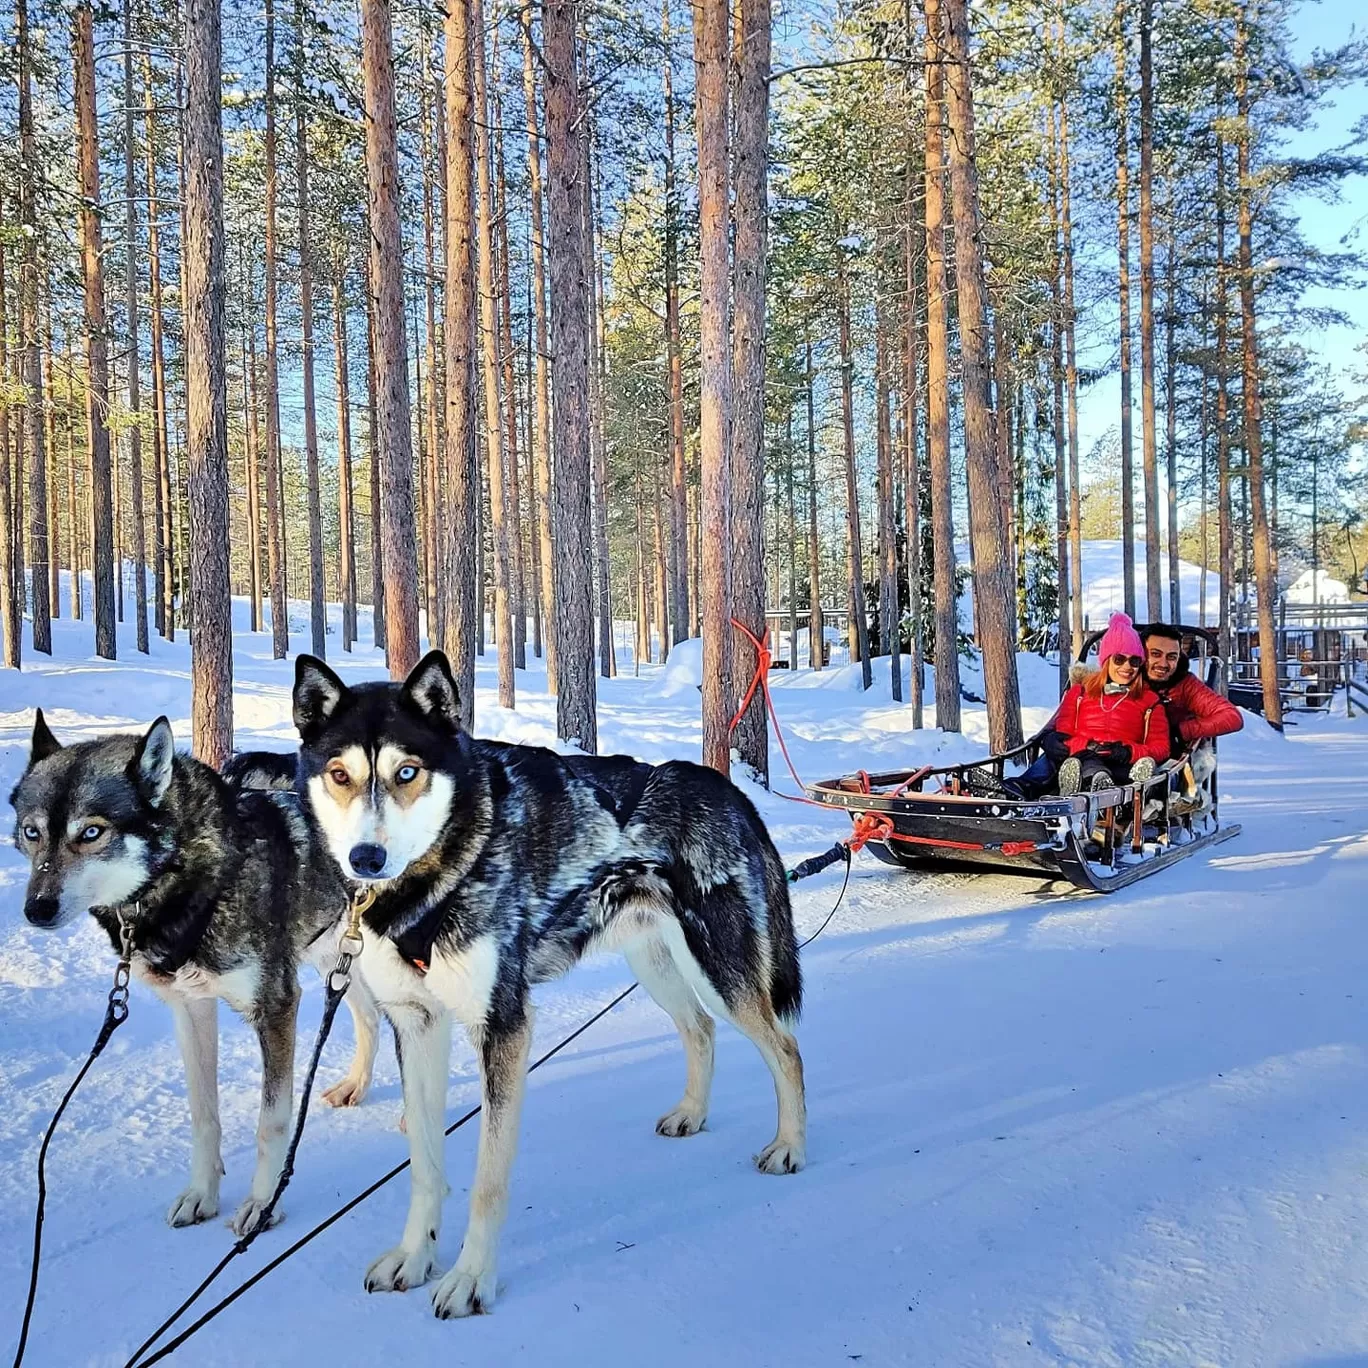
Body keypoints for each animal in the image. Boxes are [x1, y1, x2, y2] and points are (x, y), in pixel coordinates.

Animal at [10, 711, 385, 1236]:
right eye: (32, 832)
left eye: (91, 832)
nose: (36, 909)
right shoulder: (190, 1008)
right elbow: (204, 1115)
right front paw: (202, 1195)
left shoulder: (276, 1008)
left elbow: (271, 1121)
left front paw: (263, 1204)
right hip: (334, 955)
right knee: (370, 1016)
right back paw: (357, 1085)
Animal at [288, 656, 798, 1318]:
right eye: (339, 774)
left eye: (407, 772)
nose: (366, 857)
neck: (445, 865)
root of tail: (729, 789)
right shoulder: (416, 1023)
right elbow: (424, 1163)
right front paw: (415, 1257)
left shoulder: (503, 1029)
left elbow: (487, 1181)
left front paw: (471, 1279)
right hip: (657, 966)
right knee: (700, 1029)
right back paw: (692, 1112)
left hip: (722, 969)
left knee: (785, 1049)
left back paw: (790, 1145)